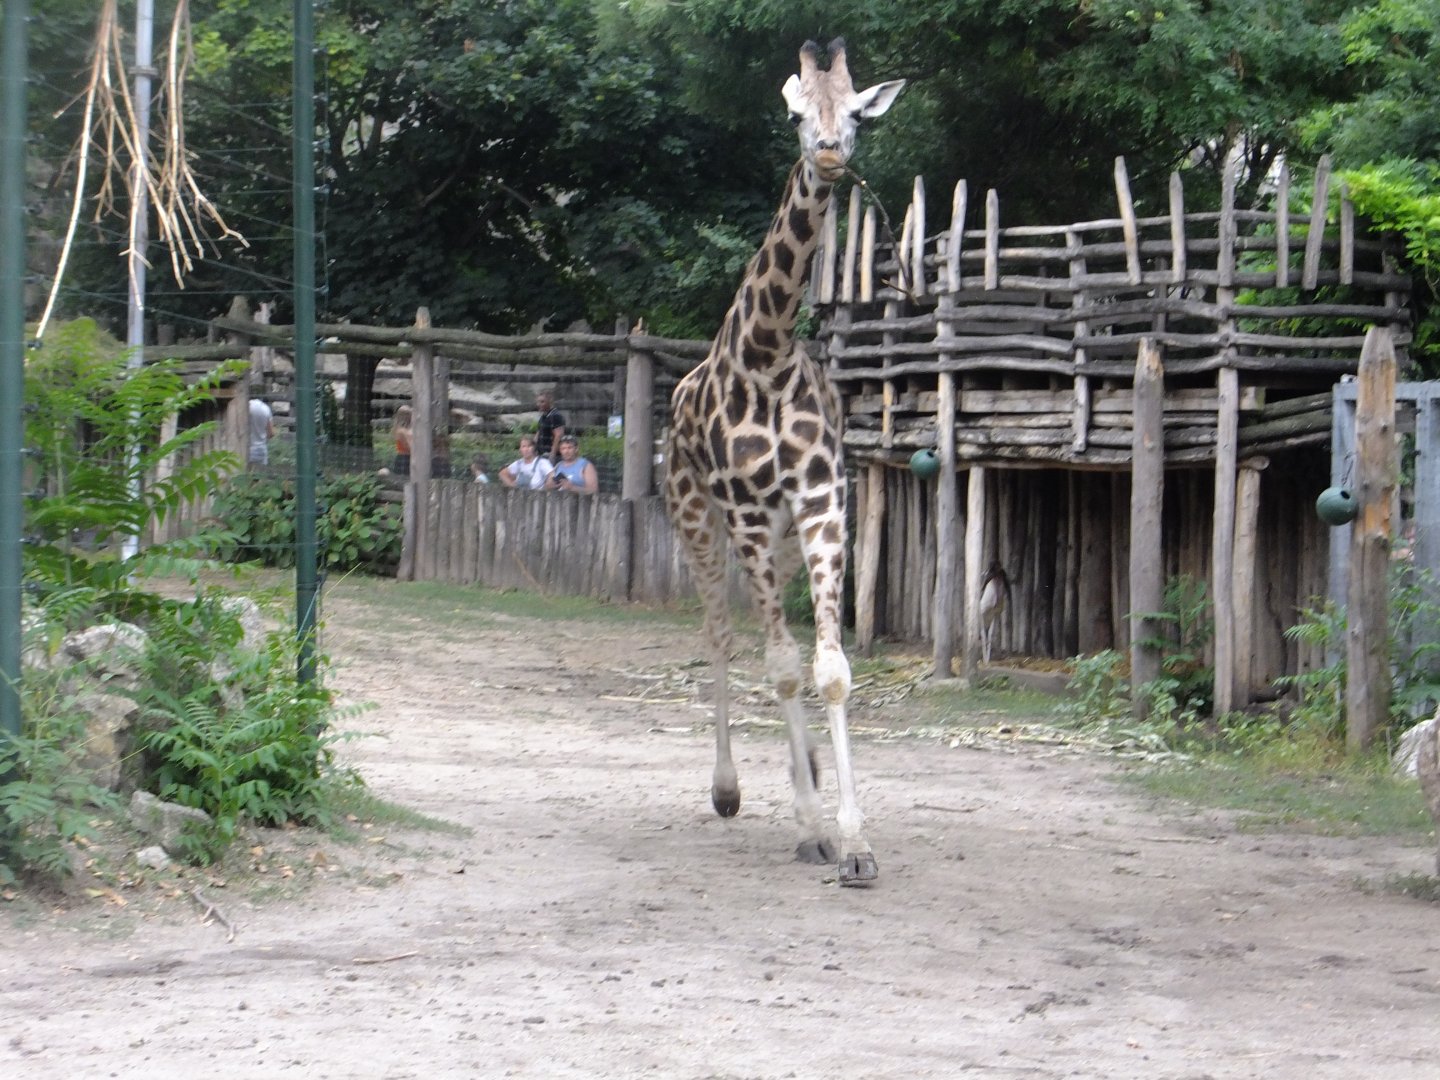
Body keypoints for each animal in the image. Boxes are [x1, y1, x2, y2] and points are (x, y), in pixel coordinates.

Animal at [664, 39, 904, 886]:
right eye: (799, 114)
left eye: (857, 112)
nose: (830, 153)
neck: (764, 353)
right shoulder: (741, 512)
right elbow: (781, 666)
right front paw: (810, 826)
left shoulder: (823, 503)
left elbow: (827, 668)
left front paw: (855, 840)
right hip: (699, 524)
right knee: (721, 636)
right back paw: (729, 789)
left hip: (784, 540)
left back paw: (811, 773)